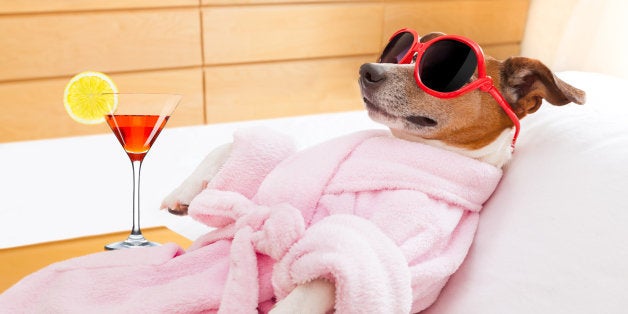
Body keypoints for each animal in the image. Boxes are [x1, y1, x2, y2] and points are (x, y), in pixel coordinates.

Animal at [162, 33, 584, 312]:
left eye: (442, 70)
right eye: (403, 51)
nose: (367, 69)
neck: (409, 150)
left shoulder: (374, 246)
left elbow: (320, 280)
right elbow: (232, 149)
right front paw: (183, 192)